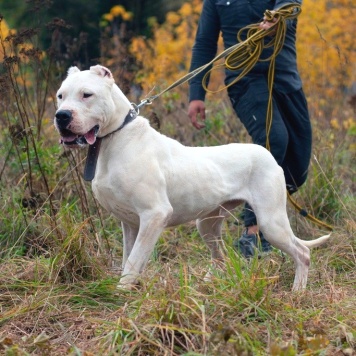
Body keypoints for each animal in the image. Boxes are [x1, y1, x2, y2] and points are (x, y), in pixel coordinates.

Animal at [54, 65, 330, 290]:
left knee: (302, 252)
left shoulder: (154, 215)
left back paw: (297, 292)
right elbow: (128, 259)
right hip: (207, 224)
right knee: (221, 257)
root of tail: (268, 155)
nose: (61, 116)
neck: (115, 138)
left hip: (271, 222)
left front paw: (120, 297)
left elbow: (133, 263)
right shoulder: (130, 223)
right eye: (60, 96)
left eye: (87, 94)